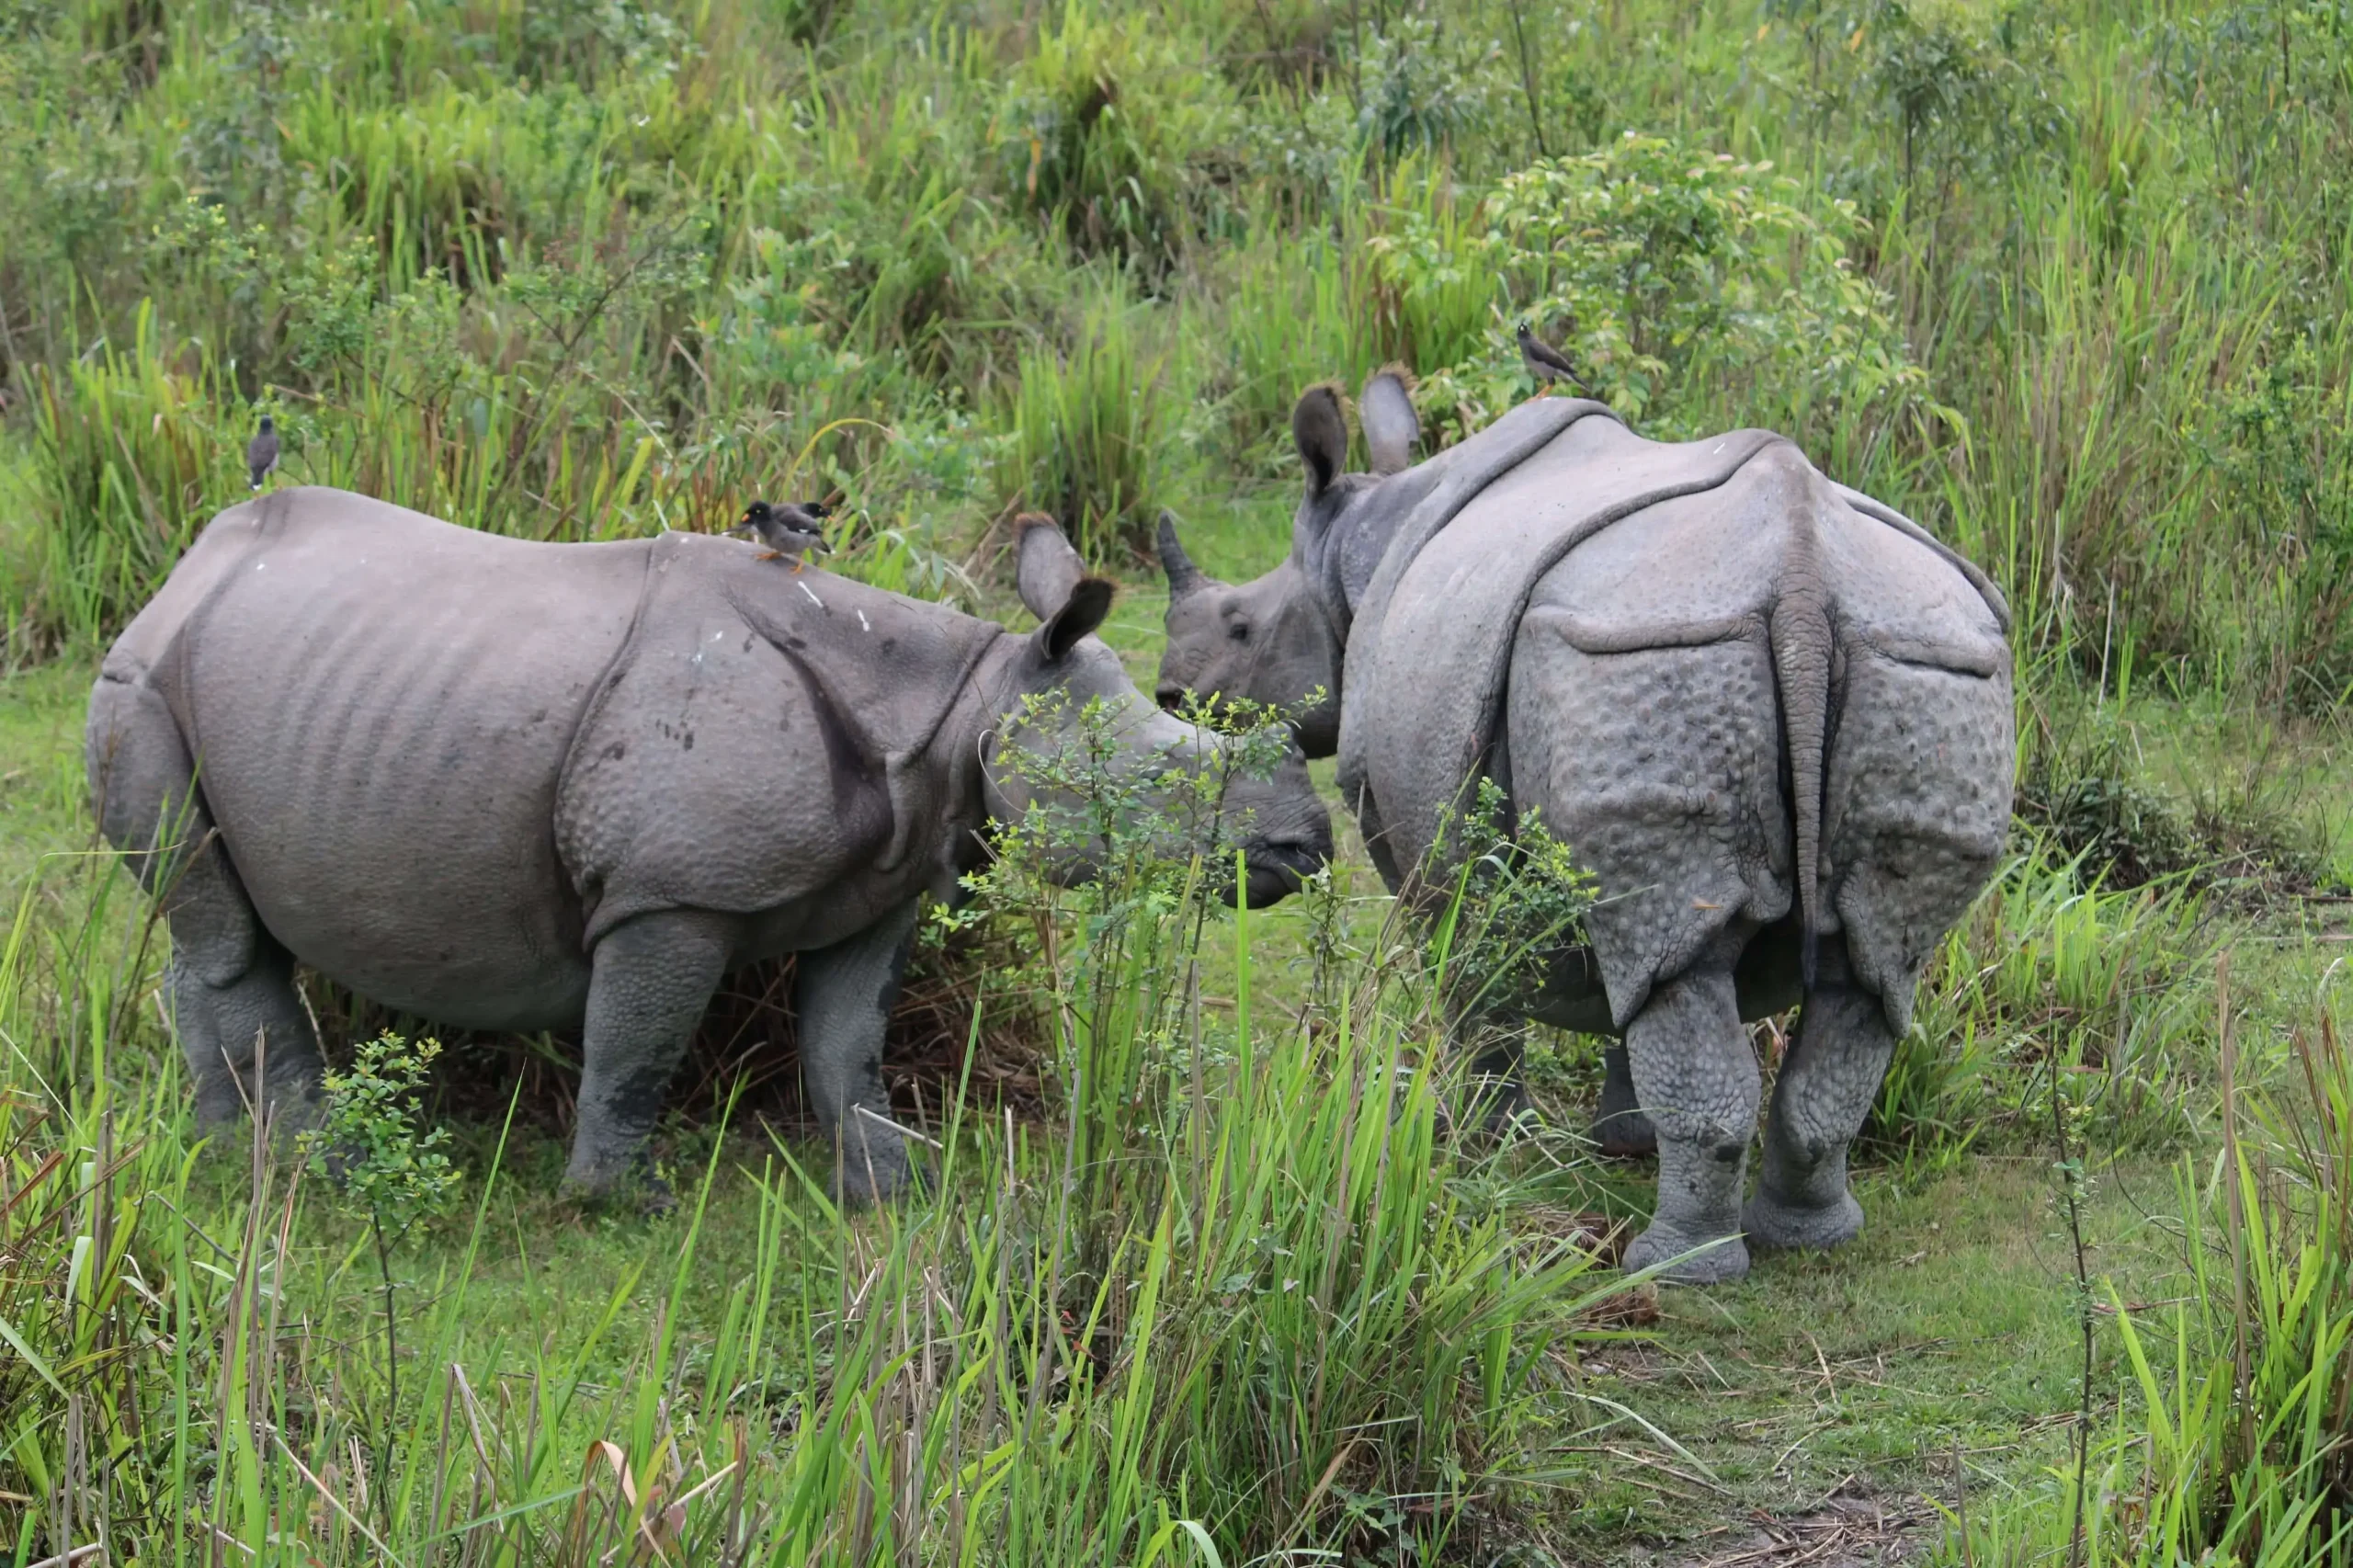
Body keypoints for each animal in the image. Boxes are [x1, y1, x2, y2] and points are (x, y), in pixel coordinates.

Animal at [88, 490, 1332, 1200]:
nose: (1306, 844)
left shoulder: (887, 881)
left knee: (209, 927)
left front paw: (901, 1185)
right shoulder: (668, 892)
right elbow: (637, 1043)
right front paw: (622, 1201)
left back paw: (219, 1154)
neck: (968, 699)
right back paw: (322, 1173)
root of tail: (182, 569)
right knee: (228, 937)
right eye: (1160, 778)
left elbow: (846, 1045)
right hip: (138, 683)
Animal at [1156, 375, 2013, 1282]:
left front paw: (1483, 1144)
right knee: (1855, 971)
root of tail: (1805, 578)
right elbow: (1625, 985)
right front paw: (1623, 1141)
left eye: (1241, 626)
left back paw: (1669, 1270)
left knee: (1692, 965)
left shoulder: (1417, 835)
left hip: (1647, 651)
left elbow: (1472, 977)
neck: (1351, 548)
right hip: (1918, 662)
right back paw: (1809, 1237)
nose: (1171, 694)